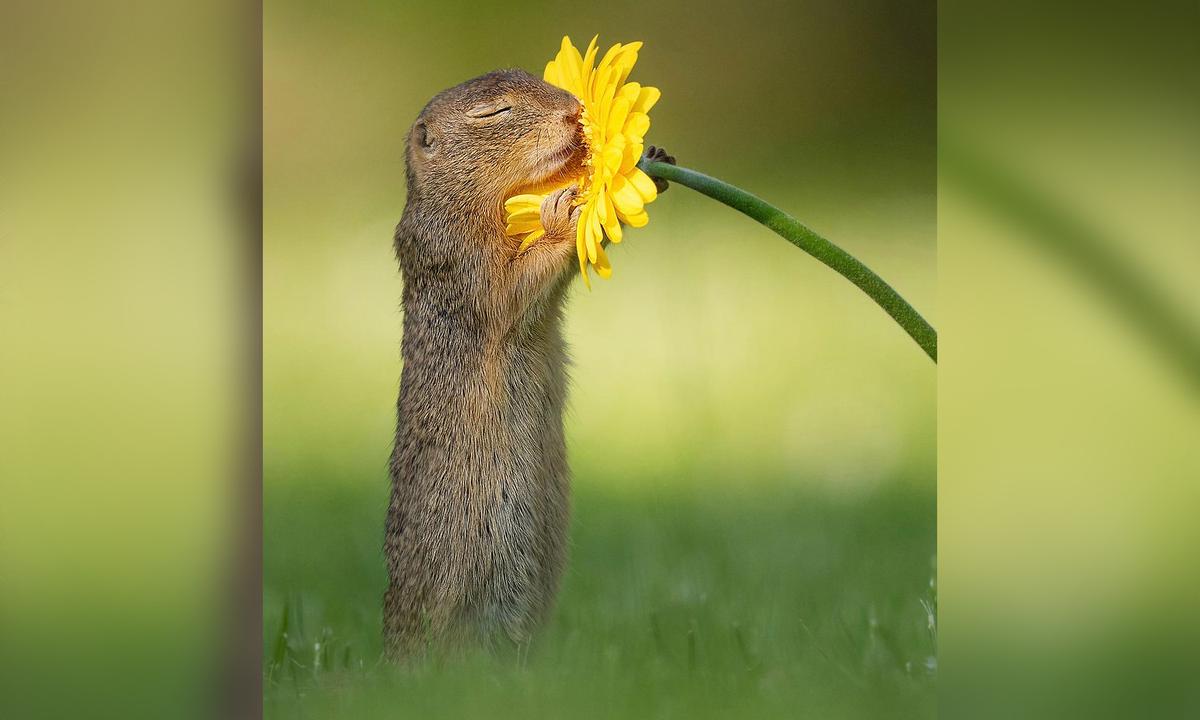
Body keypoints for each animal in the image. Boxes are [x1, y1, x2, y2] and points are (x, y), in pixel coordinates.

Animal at [383, 68, 673, 659]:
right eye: (493, 113)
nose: (573, 113)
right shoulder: (462, 262)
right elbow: (516, 286)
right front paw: (562, 213)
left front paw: (650, 159)